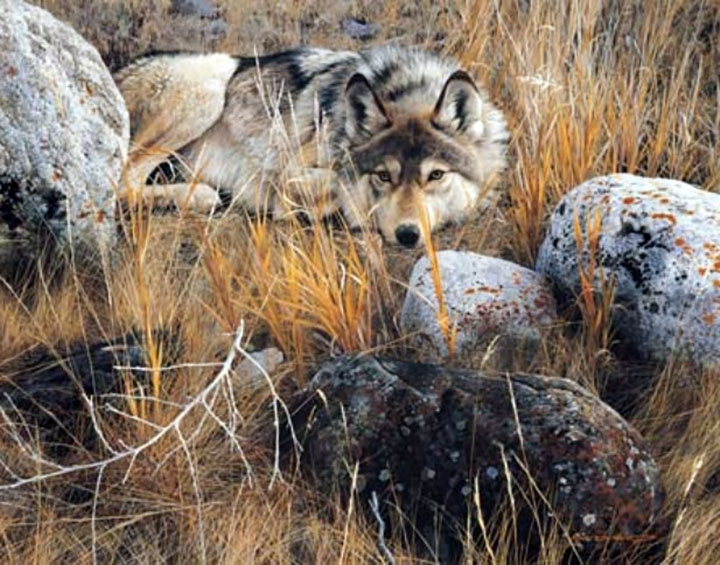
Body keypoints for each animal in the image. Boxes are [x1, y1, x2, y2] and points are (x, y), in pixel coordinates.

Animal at [115, 45, 508, 247]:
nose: (408, 235)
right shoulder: (288, 173)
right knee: (123, 183)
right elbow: (338, 184)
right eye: (383, 176)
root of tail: (118, 70)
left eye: (436, 175)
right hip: (211, 81)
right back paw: (200, 195)